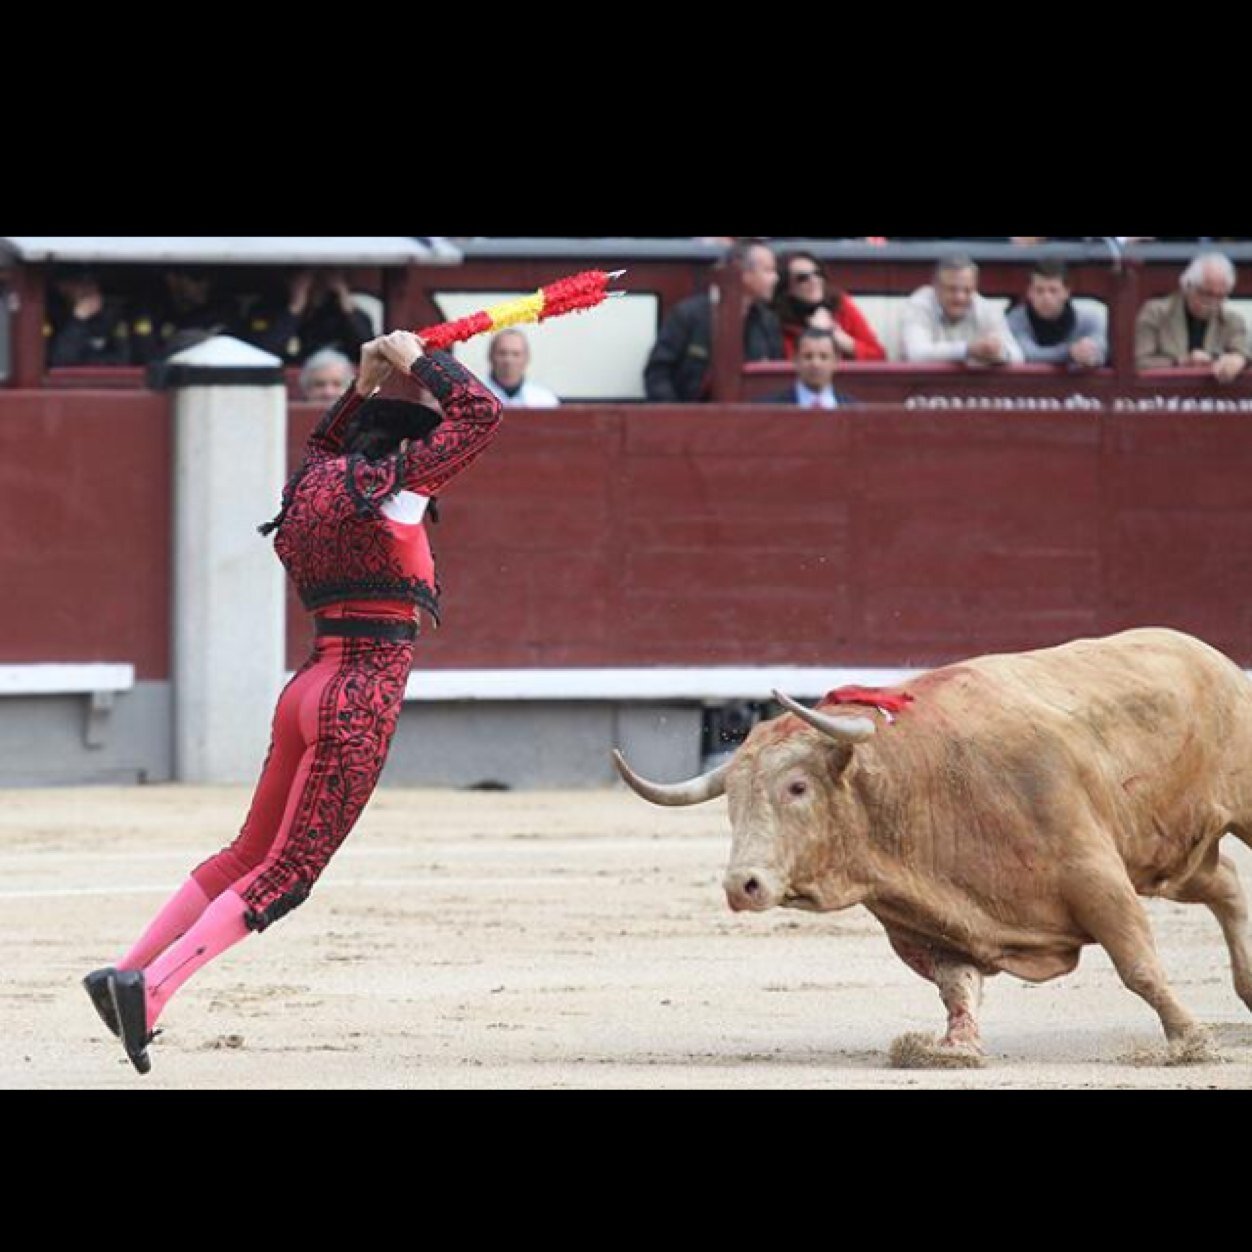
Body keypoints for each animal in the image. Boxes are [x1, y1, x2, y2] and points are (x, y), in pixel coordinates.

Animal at [610, 631, 1252, 1061]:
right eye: (731, 799)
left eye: (797, 787)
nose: (742, 885)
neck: (919, 782)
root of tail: (1208, 656)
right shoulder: (924, 921)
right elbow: (955, 984)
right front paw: (955, 1047)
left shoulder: (1094, 875)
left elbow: (1138, 964)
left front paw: (1190, 1040)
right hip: (1173, 856)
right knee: (1225, 883)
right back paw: (1248, 990)